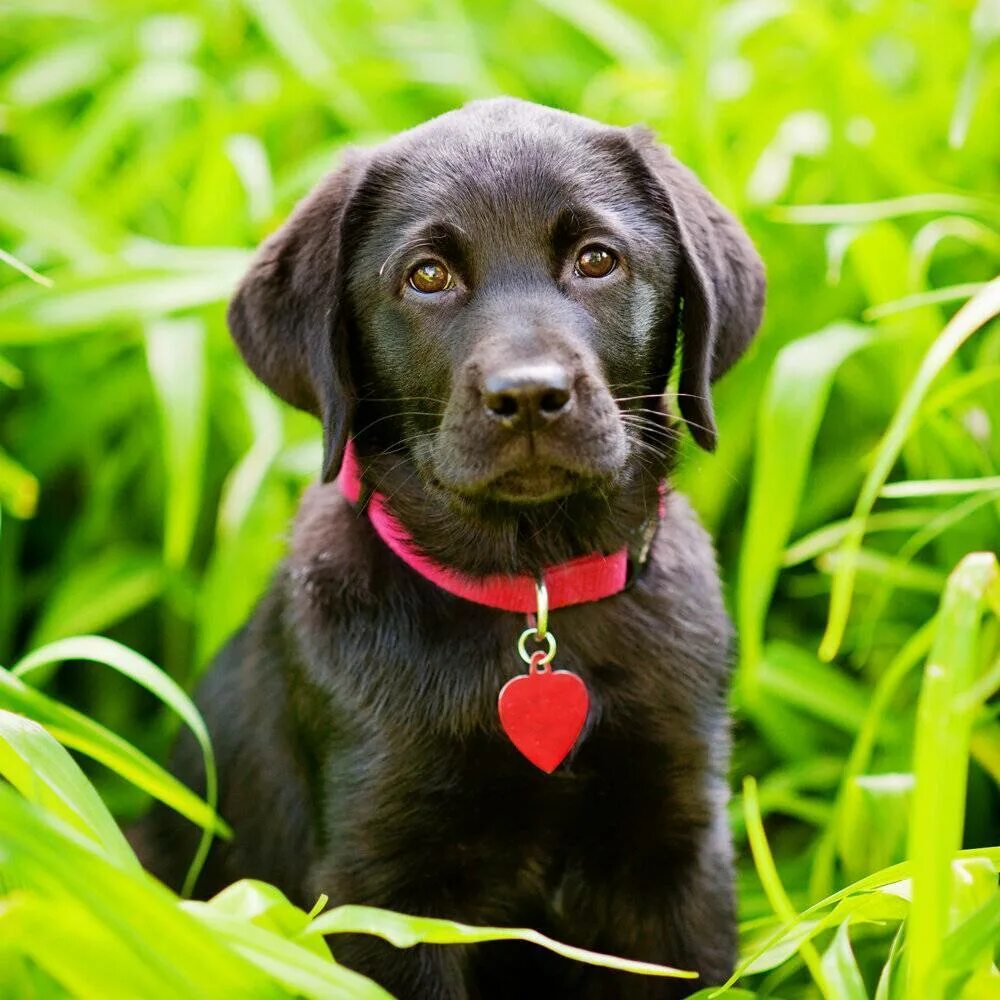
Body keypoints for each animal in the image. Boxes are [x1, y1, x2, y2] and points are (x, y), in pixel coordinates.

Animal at [139, 95, 764, 1000]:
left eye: (597, 260)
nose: (530, 395)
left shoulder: (676, 857)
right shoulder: (384, 894)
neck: (531, 590)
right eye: (427, 277)